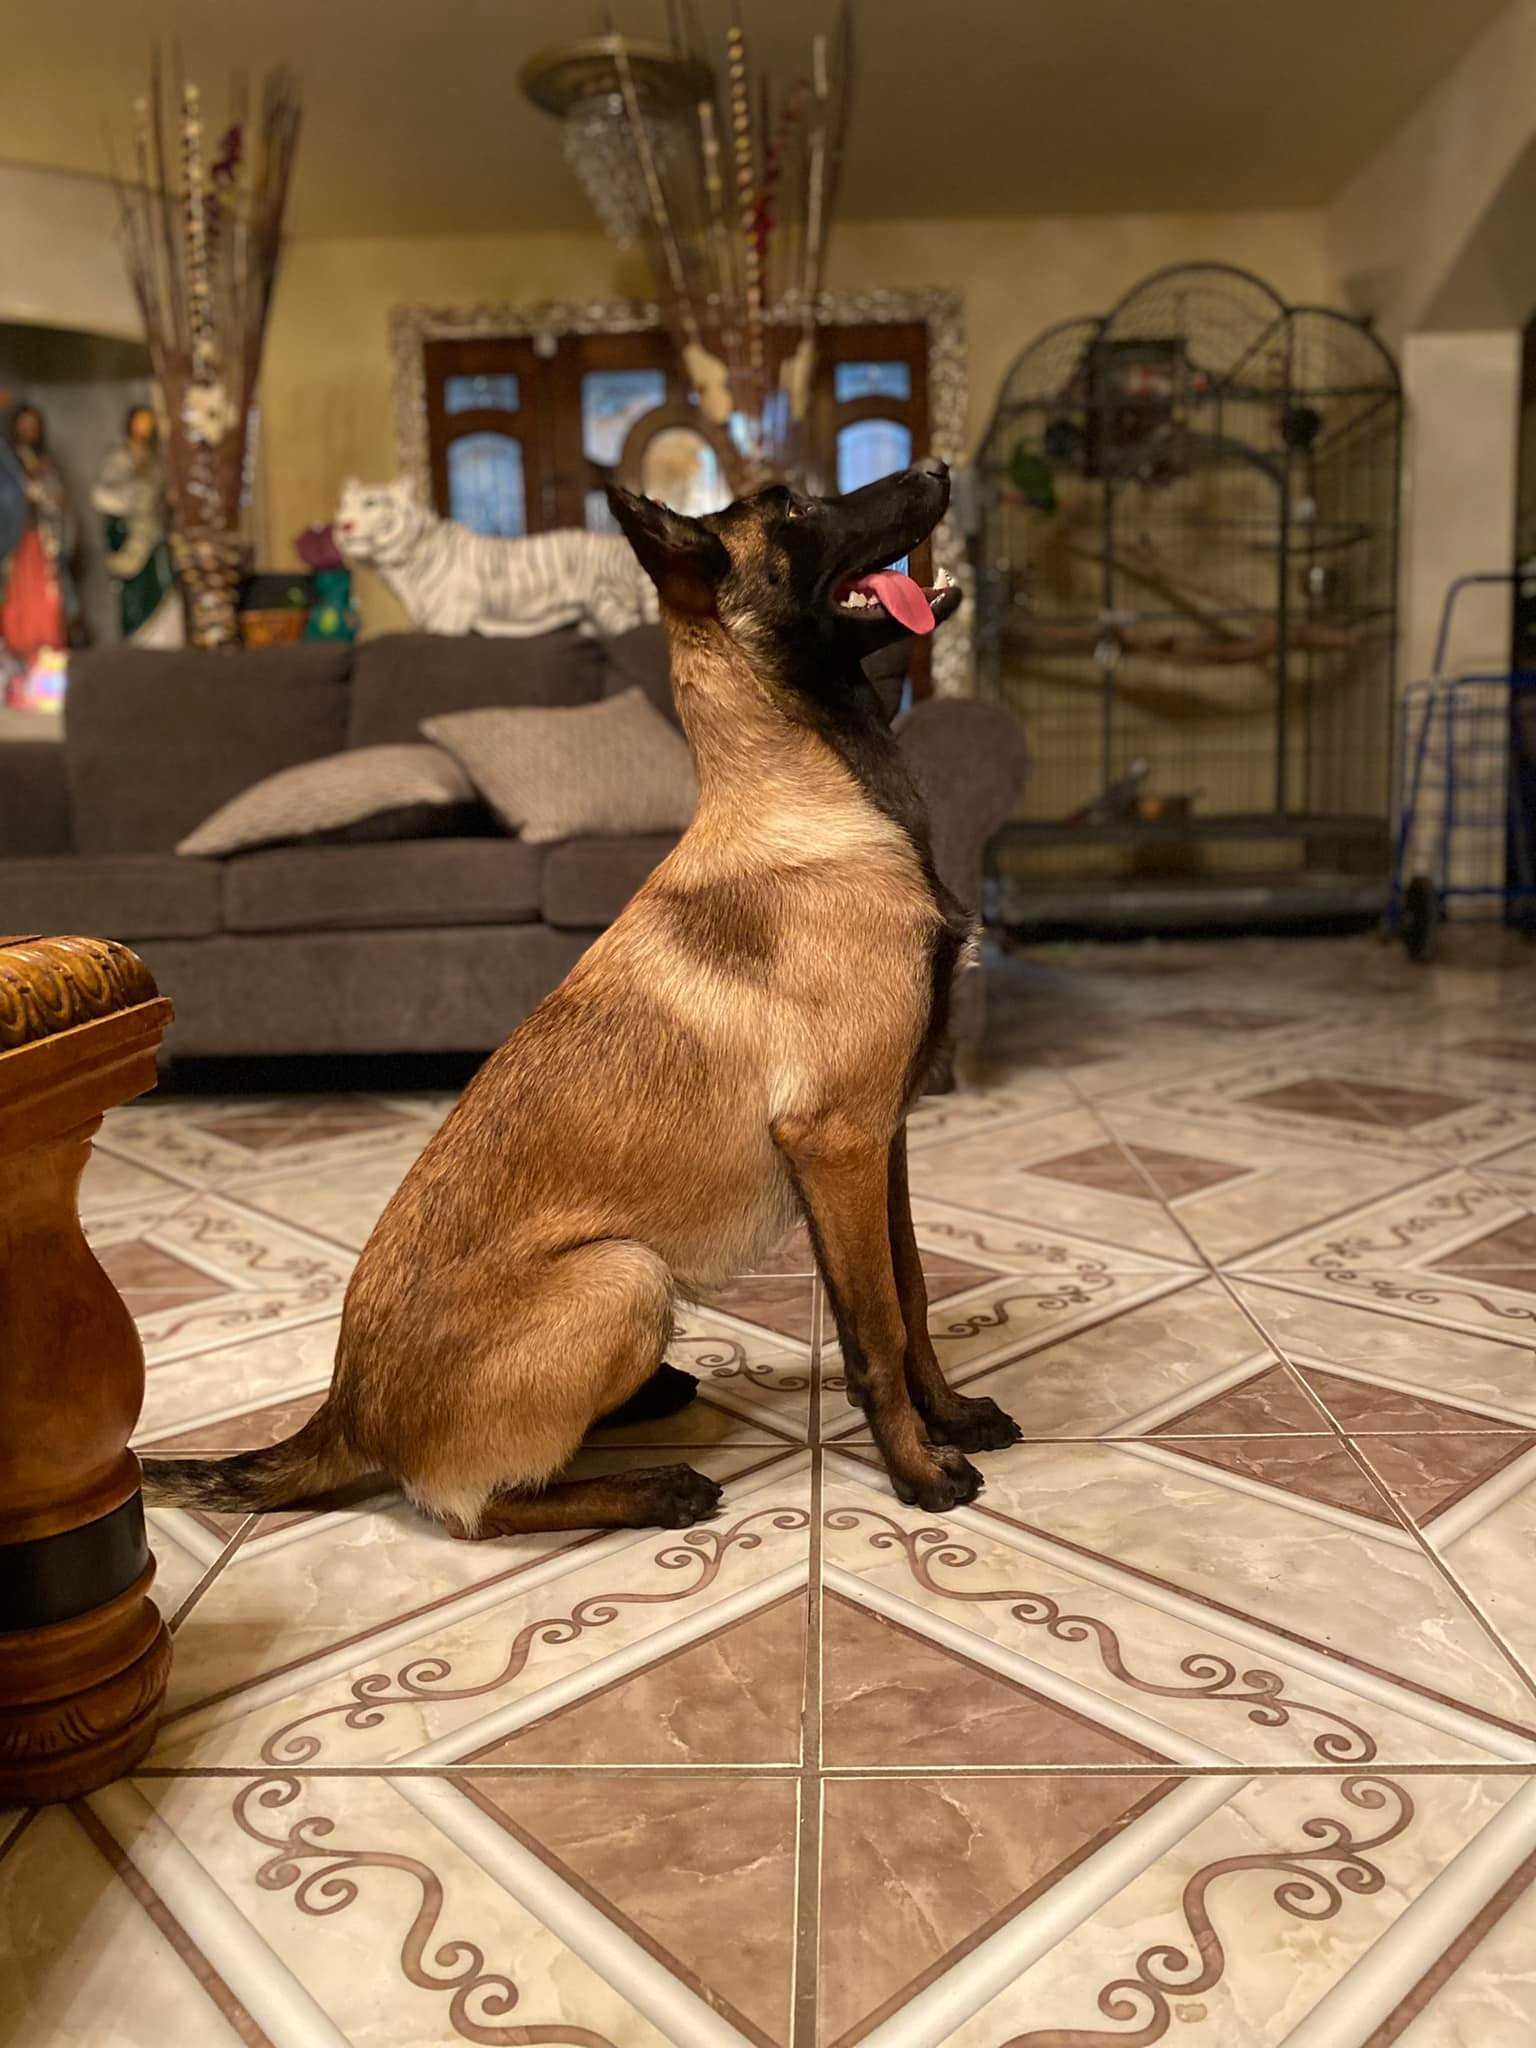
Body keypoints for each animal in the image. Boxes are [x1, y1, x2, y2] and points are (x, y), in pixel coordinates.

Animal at [144, 468, 1028, 1540]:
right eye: (796, 510)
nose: (938, 470)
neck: (813, 794)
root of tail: (347, 1412)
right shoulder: (840, 1144)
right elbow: (877, 1331)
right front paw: (916, 1470)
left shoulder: (880, 1143)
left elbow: (915, 1296)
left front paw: (952, 1417)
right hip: (624, 1275)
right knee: (479, 1510)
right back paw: (652, 1487)